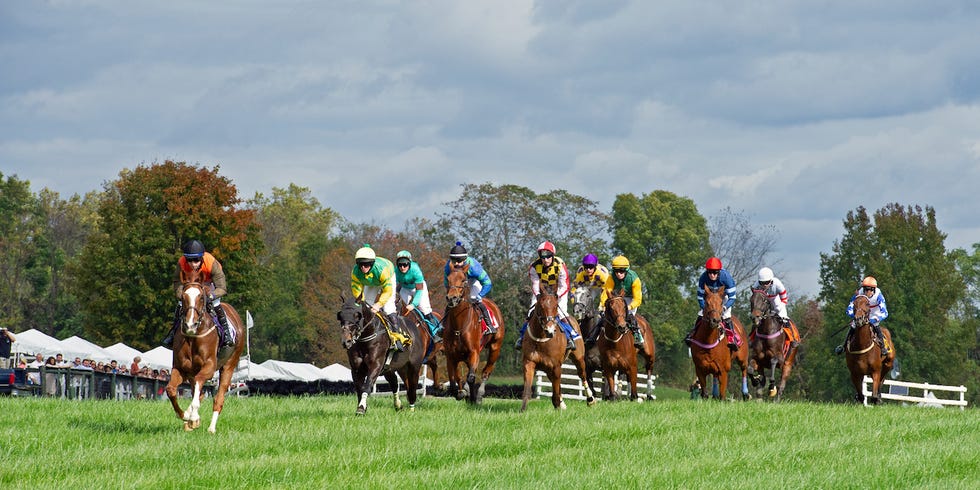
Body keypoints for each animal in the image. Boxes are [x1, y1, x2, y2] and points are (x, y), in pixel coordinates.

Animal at [166, 268, 244, 432]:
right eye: (183, 297)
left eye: (201, 297)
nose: (190, 325)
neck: (193, 336)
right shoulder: (180, 368)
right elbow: (171, 390)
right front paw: (186, 416)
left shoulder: (209, 367)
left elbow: (199, 385)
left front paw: (193, 416)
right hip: (191, 371)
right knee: (199, 392)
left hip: (230, 365)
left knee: (218, 398)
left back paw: (211, 428)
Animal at [442, 266, 506, 404]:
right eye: (448, 279)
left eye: (463, 280)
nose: (452, 298)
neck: (459, 326)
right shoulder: (451, 355)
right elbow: (454, 380)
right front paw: (461, 393)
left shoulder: (474, 352)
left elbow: (471, 377)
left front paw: (472, 397)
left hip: (495, 348)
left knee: (486, 371)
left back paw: (479, 395)